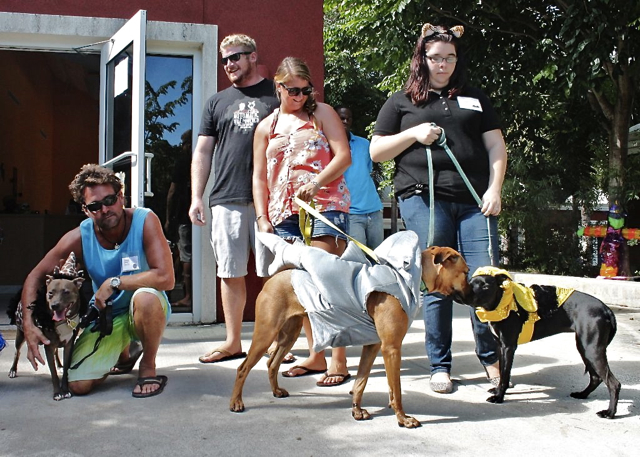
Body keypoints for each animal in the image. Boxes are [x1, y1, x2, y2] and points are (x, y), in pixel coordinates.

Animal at [230, 244, 470, 426]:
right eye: (466, 272)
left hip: (289, 334)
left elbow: (361, 382)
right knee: (243, 368)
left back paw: (276, 391)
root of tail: (274, 278)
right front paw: (402, 419)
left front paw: (357, 410)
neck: (411, 276)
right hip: (266, 333)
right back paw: (236, 402)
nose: (475, 290)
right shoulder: (391, 348)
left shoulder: (374, 346)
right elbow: (396, 390)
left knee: (272, 363)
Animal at [464, 268, 620, 418]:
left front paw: (499, 397)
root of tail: (606, 309)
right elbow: (502, 373)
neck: (501, 302)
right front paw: (497, 391)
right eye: (470, 283)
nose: (466, 295)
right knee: (596, 377)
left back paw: (609, 413)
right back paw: (582, 395)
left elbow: (505, 375)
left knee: (613, 383)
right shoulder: (500, 346)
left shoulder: (508, 347)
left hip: (591, 349)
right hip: (584, 347)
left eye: (486, 286)